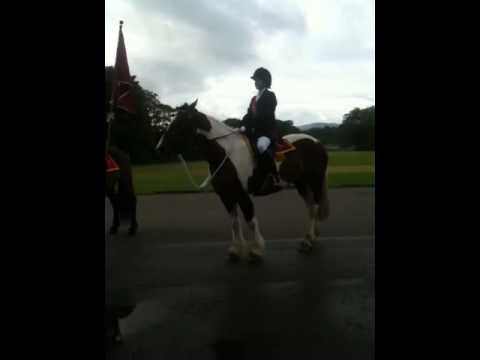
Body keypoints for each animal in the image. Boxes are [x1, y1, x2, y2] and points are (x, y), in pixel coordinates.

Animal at [158, 100, 330, 262]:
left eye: (180, 123)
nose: (159, 148)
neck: (227, 154)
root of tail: (317, 142)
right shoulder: (226, 196)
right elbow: (234, 222)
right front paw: (235, 249)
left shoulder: (243, 195)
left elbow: (250, 221)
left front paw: (256, 250)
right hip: (301, 183)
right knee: (310, 207)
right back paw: (310, 237)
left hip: (314, 181)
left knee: (314, 207)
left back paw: (308, 242)